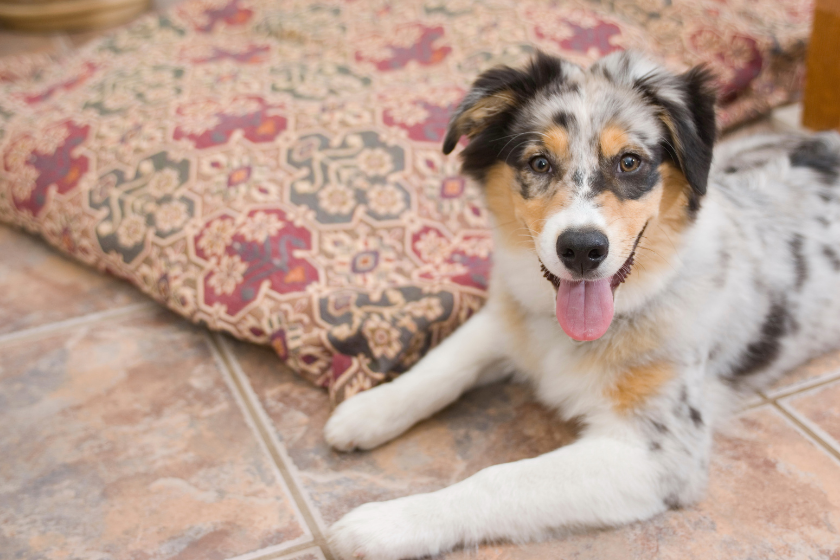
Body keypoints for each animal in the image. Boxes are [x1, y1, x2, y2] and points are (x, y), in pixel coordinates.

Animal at [322, 50, 840, 556]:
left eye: (630, 162)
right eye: (539, 163)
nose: (582, 249)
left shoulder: (660, 452)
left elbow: (501, 478)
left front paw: (386, 524)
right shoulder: (510, 317)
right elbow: (443, 364)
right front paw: (368, 411)